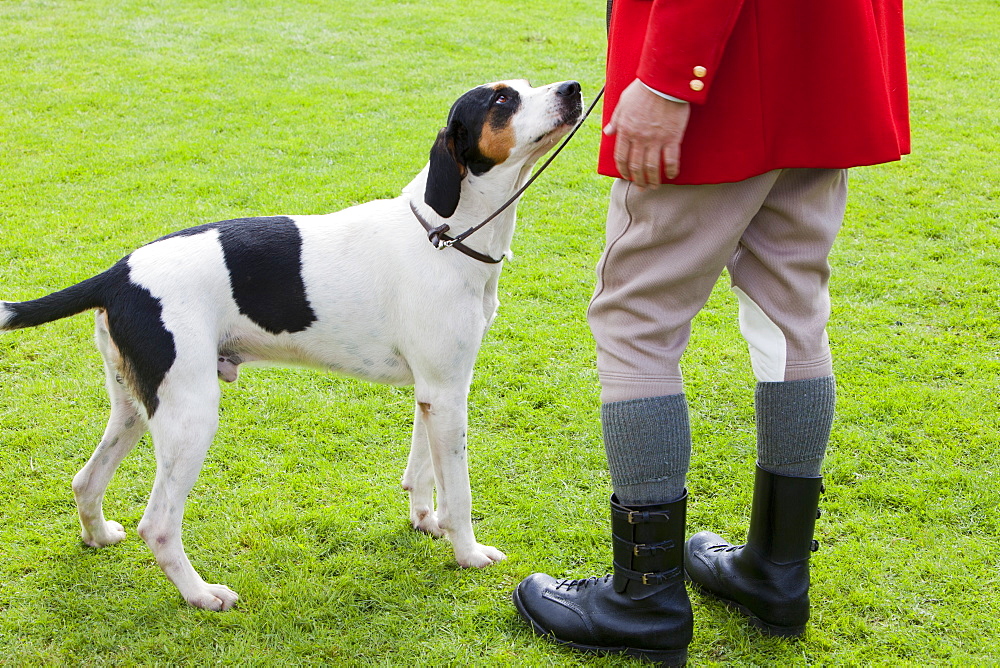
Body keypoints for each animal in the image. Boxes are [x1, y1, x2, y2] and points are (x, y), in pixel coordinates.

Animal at [0, 78, 584, 612]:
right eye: (502, 99)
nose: (575, 88)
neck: (445, 233)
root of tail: (117, 274)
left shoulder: (434, 390)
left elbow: (422, 472)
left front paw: (426, 521)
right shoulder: (447, 392)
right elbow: (458, 491)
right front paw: (468, 553)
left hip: (135, 407)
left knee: (86, 481)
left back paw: (99, 536)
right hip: (191, 416)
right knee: (158, 524)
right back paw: (201, 594)